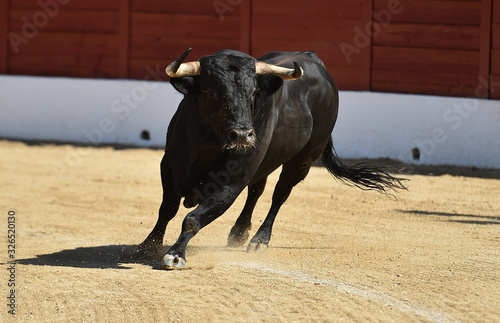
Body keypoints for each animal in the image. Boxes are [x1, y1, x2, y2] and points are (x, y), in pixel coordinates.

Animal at [136, 48, 406, 270]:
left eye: (253, 92)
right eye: (211, 92)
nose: (242, 134)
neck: (208, 143)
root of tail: (314, 59)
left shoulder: (232, 182)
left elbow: (194, 218)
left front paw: (175, 255)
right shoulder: (170, 167)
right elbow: (167, 209)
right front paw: (148, 245)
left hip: (302, 161)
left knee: (280, 194)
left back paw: (259, 240)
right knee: (257, 191)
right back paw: (239, 233)